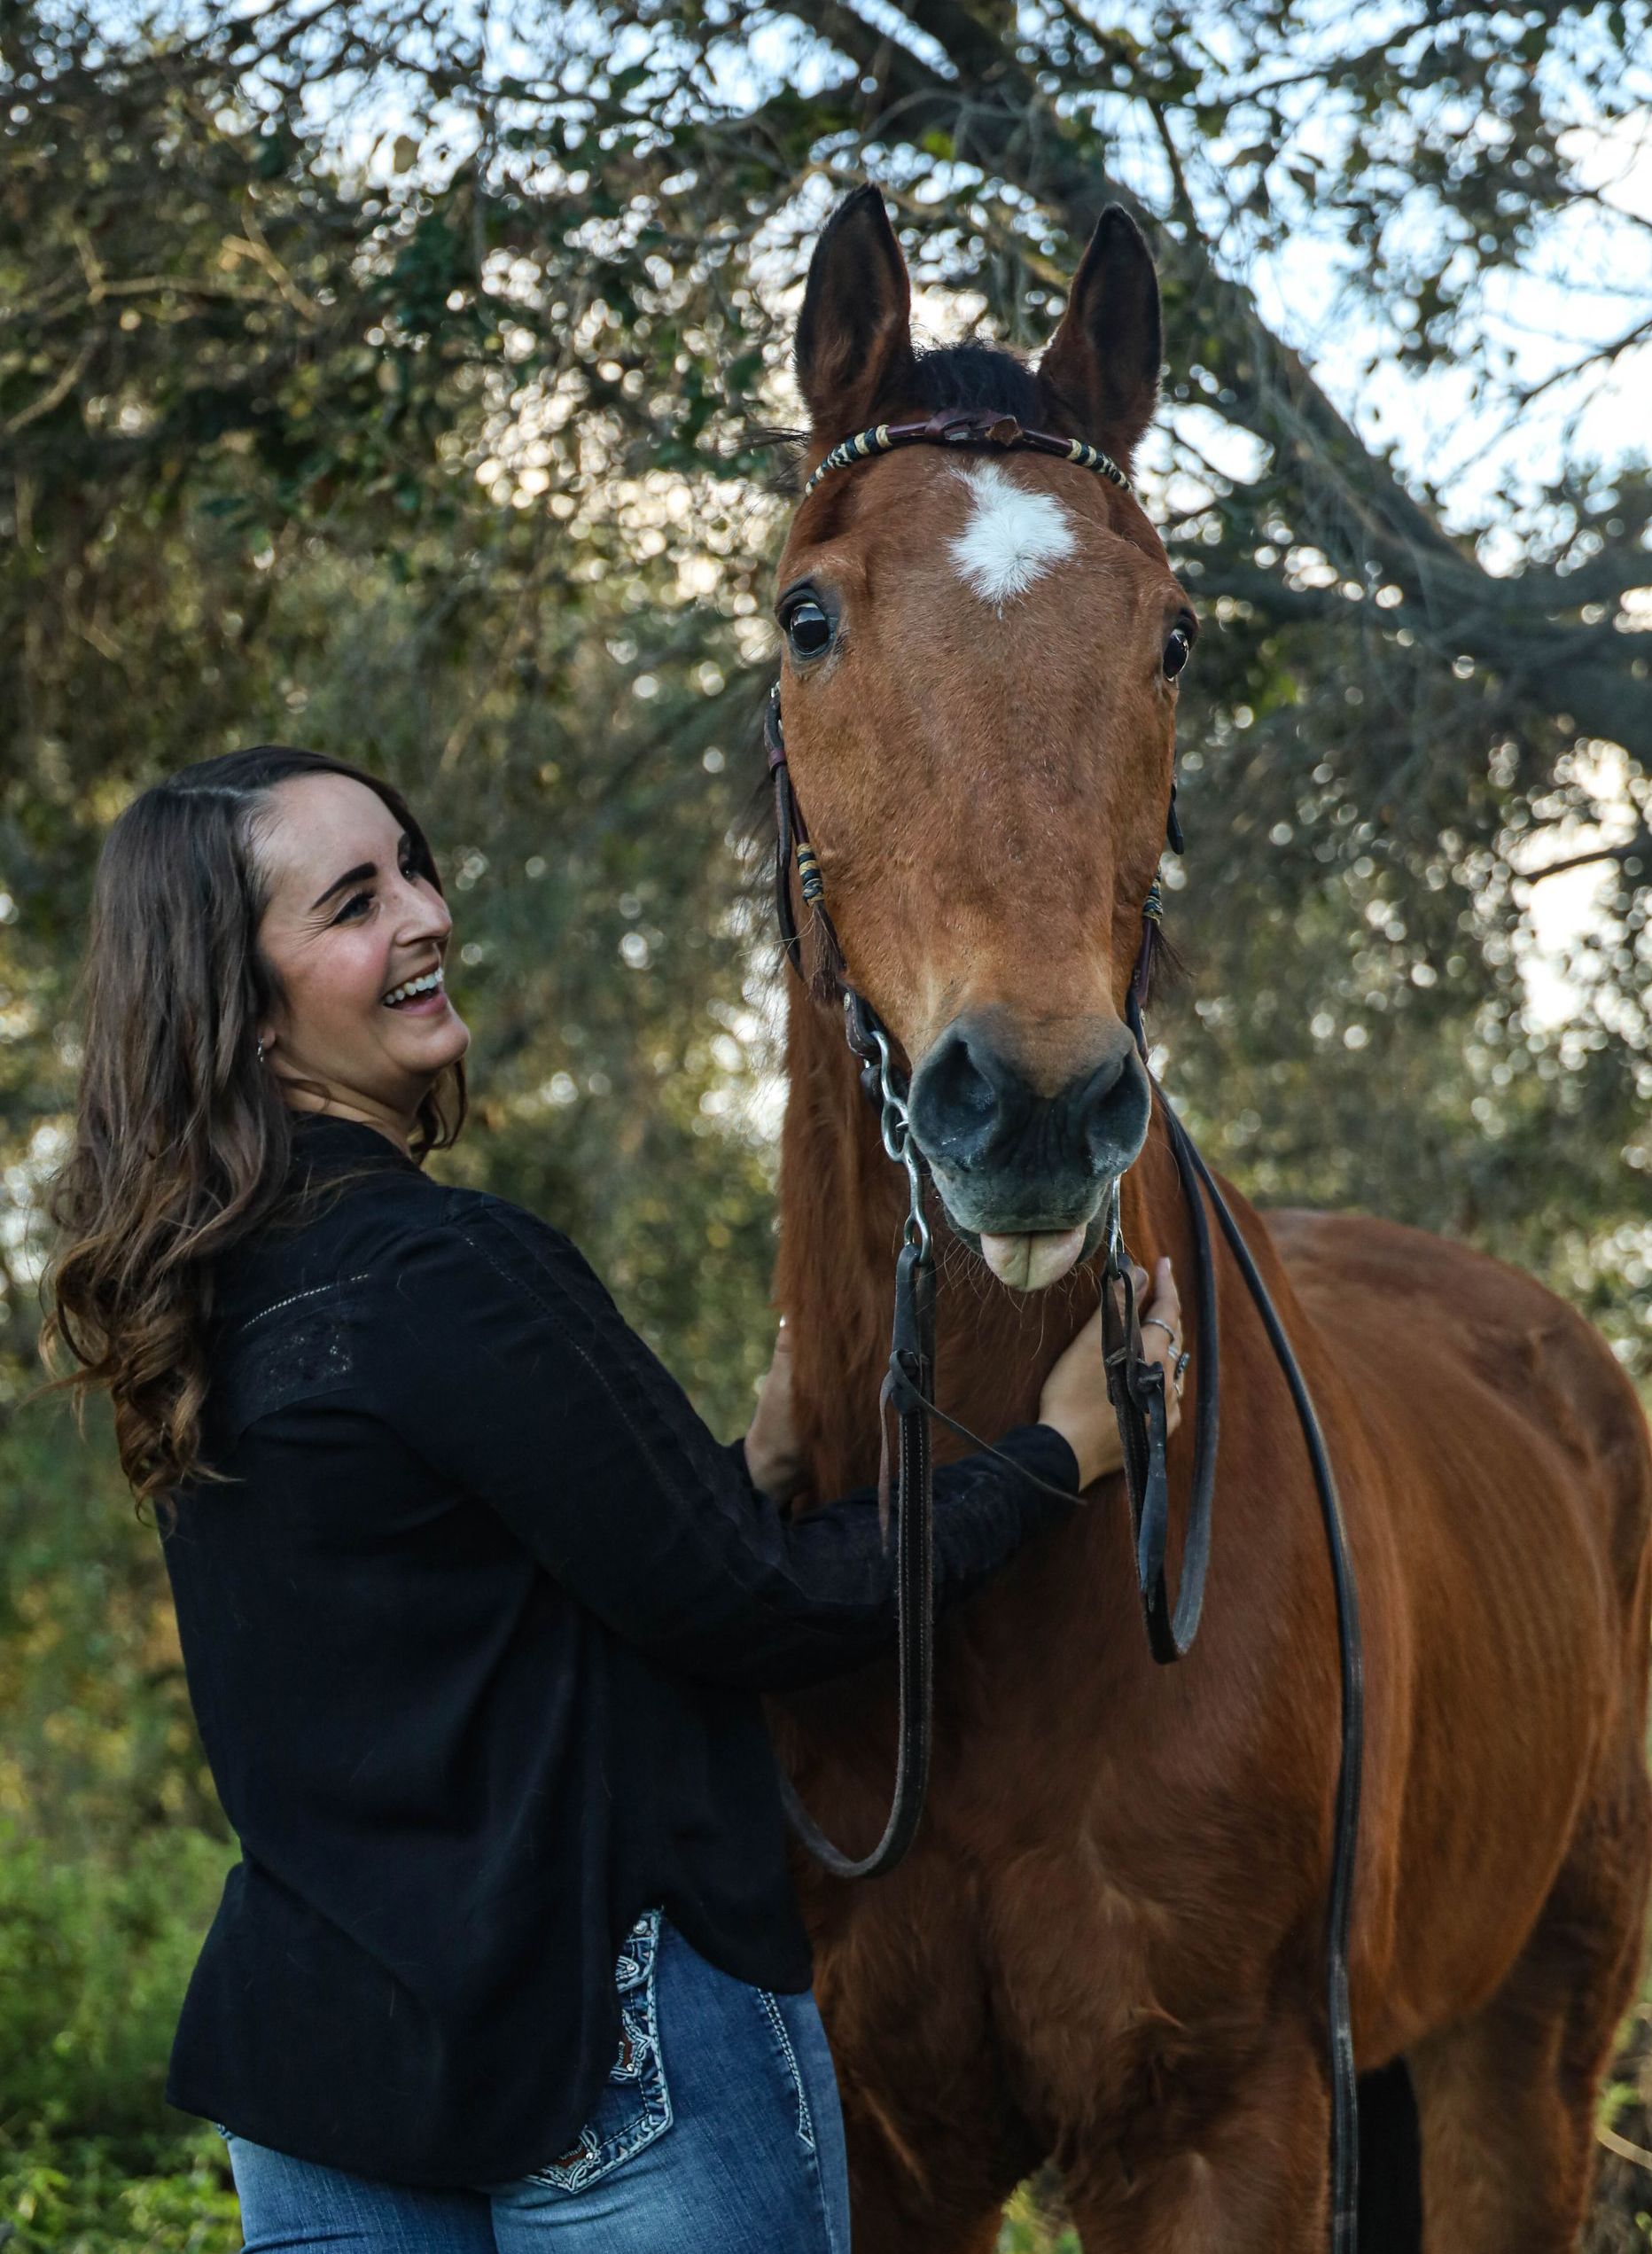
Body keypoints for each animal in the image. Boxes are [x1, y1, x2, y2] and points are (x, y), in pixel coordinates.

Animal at [761, 185, 1652, 2253]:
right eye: (807, 615)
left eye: (1167, 633)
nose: (1027, 1097)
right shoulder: (887, 2138)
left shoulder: (1216, 2130)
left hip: (1522, 2047)